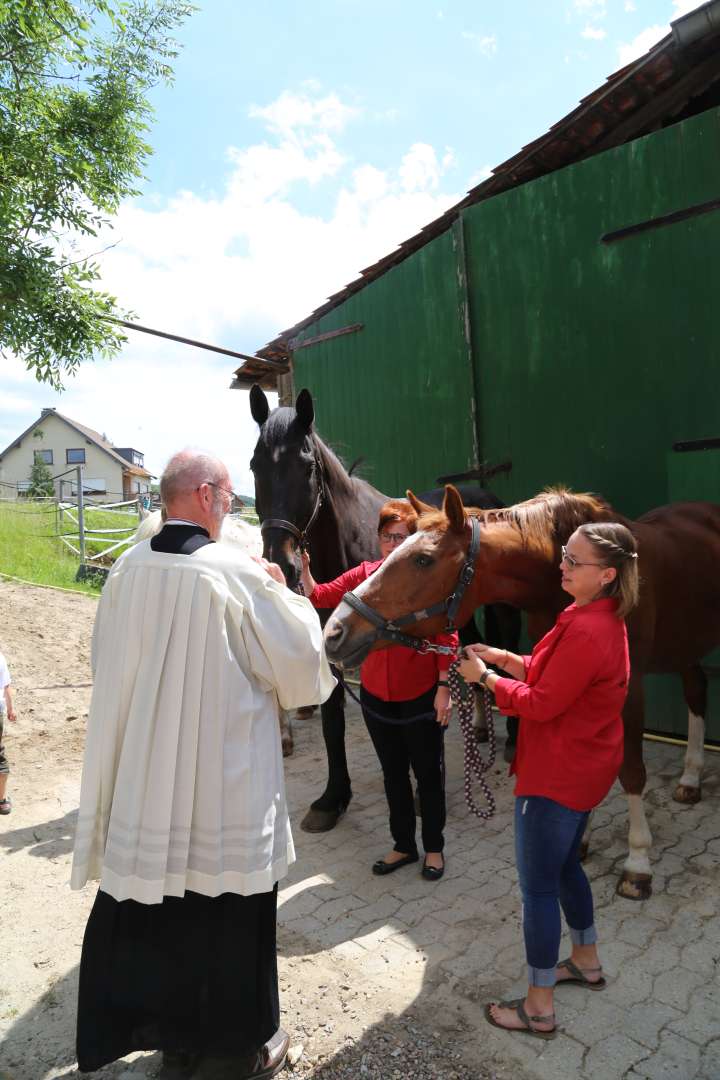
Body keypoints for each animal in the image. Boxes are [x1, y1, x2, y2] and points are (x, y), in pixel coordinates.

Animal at [248, 384, 518, 829]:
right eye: (254, 466)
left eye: (307, 468)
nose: (282, 563)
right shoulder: (334, 639)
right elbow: (333, 720)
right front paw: (333, 798)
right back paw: (479, 727)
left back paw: (512, 739)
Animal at [323, 486, 720, 898]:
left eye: (422, 559)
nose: (334, 633)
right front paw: (579, 840)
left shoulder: (628, 688)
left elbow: (630, 771)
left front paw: (637, 862)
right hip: (684, 643)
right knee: (696, 689)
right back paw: (690, 779)